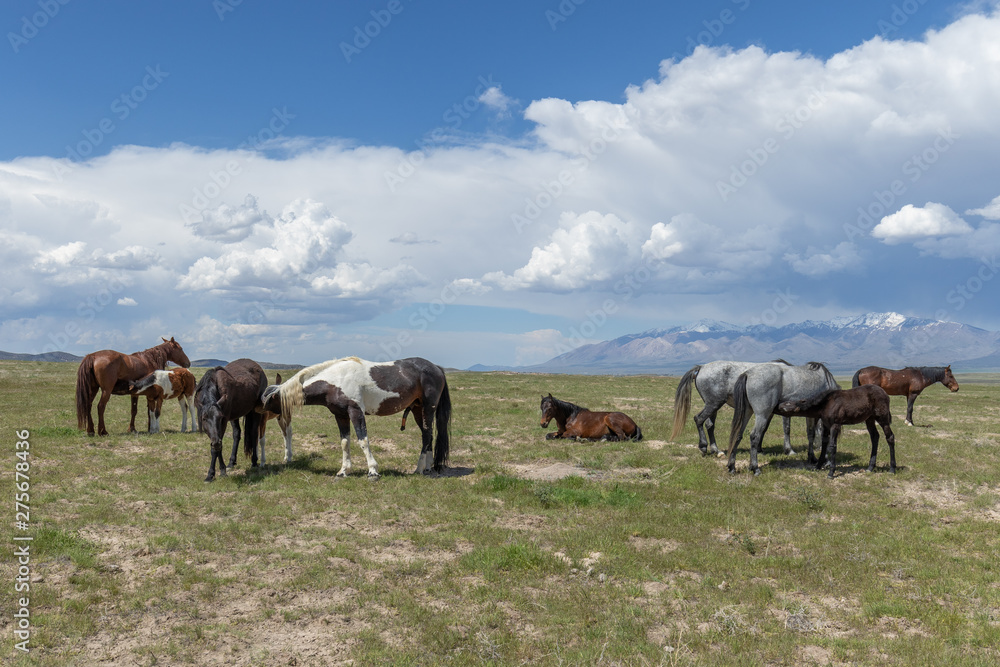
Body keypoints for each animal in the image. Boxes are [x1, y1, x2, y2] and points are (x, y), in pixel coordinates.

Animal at [262, 358, 458, 478]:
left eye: (268, 401)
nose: (260, 414)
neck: (335, 381)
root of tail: (436, 368)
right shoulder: (340, 415)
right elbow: (345, 442)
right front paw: (343, 471)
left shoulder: (355, 412)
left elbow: (363, 440)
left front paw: (372, 470)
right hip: (418, 410)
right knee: (429, 436)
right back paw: (427, 467)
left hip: (428, 409)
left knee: (426, 436)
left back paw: (418, 469)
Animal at [672, 360, 820, 460]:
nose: (819, 448)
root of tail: (702, 367)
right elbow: (787, 428)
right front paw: (789, 450)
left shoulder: (767, 411)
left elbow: (763, 429)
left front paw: (759, 449)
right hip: (713, 404)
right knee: (699, 419)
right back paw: (703, 447)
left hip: (713, 405)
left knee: (709, 425)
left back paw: (716, 450)